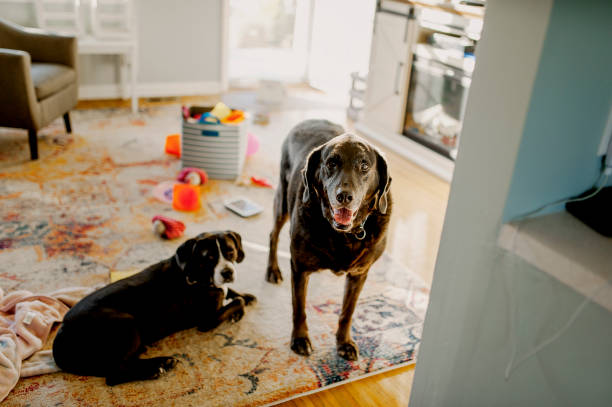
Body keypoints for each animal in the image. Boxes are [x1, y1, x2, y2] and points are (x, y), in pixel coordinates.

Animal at [51, 231, 255, 388]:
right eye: (208, 259)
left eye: (230, 251)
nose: (227, 272)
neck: (194, 274)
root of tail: (61, 335)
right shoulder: (208, 320)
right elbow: (235, 301)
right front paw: (239, 309)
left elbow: (233, 293)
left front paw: (247, 295)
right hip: (127, 324)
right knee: (114, 375)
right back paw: (155, 368)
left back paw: (162, 362)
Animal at [264, 119, 390, 362]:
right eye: (331, 163)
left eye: (364, 166)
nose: (344, 196)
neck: (342, 234)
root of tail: (309, 119)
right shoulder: (299, 267)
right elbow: (299, 308)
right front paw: (300, 339)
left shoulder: (359, 275)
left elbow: (347, 312)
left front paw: (344, 343)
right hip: (282, 201)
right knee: (273, 234)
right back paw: (272, 270)